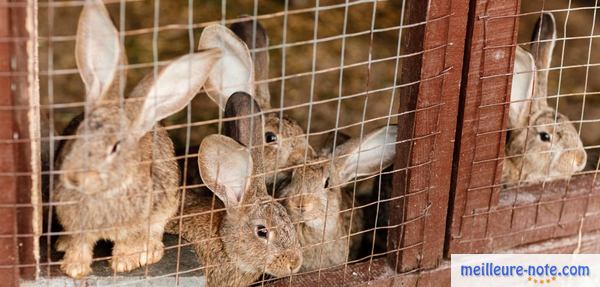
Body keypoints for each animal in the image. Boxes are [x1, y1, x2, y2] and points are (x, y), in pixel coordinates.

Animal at [53, 0, 220, 280]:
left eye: (115, 147)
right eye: (77, 134)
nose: (75, 178)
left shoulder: (142, 220)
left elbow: (129, 242)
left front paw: (125, 263)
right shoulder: (77, 226)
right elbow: (80, 244)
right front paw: (74, 268)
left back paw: (150, 251)